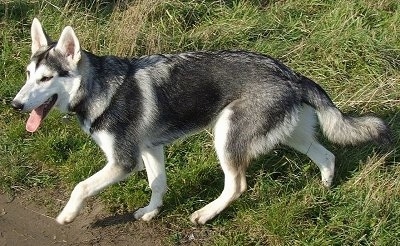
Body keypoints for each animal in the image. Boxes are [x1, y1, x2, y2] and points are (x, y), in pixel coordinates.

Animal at [11, 17, 390, 225]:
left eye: (46, 79)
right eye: (28, 75)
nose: (14, 104)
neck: (97, 89)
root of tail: (291, 74)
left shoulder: (123, 162)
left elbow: (81, 187)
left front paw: (68, 215)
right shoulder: (151, 150)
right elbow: (158, 185)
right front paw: (151, 212)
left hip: (225, 135)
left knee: (236, 186)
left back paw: (206, 214)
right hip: (291, 136)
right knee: (327, 155)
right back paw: (324, 191)